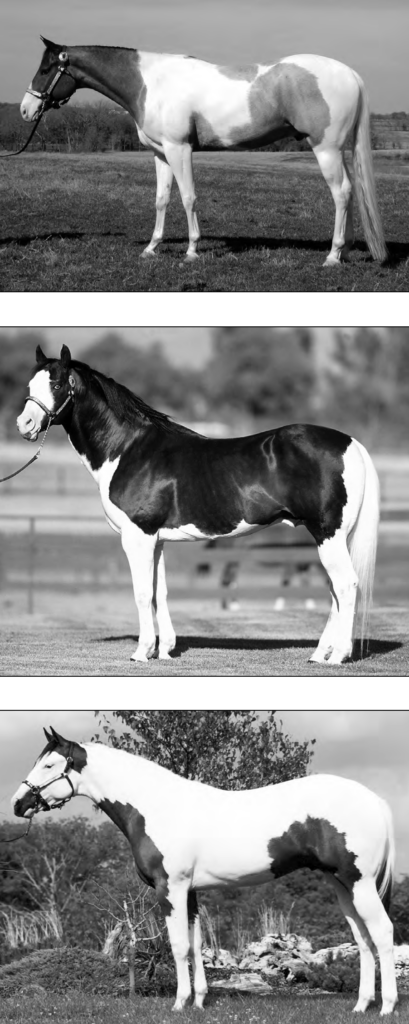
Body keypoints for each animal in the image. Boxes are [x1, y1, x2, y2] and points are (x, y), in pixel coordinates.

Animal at [11, 726, 398, 1014]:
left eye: (49, 766)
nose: (18, 804)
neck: (157, 806)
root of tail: (375, 800)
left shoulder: (170, 888)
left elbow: (179, 945)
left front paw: (179, 1003)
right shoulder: (191, 892)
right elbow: (197, 946)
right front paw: (198, 1001)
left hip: (359, 884)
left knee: (383, 933)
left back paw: (387, 1006)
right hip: (342, 886)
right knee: (363, 940)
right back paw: (361, 1006)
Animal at [16, 344, 380, 666]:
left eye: (57, 384)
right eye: (30, 385)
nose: (25, 425)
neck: (129, 449)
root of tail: (352, 443)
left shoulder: (137, 537)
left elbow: (141, 593)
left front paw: (141, 652)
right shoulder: (156, 540)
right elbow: (159, 592)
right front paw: (163, 650)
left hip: (327, 534)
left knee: (345, 586)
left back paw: (338, 656)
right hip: (331, 538)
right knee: (334, 590)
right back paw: (319, 654)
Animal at [20, 37, 387, 266]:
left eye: (45, 70)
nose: (25, 110)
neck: (150, 82)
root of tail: (349, 73)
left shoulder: (179, 149)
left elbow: (188, 198)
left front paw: (192, 251)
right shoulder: (161, 154)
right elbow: (162, 200)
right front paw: (151, 248)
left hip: (326, 149)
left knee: (341, 193)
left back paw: (332, 256)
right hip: (338, 151)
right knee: (350, 192)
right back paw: (345, 252)